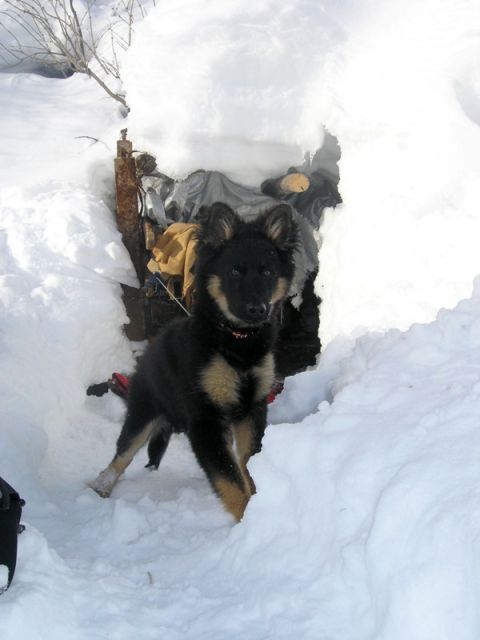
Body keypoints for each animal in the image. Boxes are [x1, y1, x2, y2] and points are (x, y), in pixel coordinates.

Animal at [91, 202, 296, 524]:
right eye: (234, 271)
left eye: (268, 272)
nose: (257, 310)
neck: (237, 341)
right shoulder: (205, 418)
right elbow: (229, 479)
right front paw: (245, 520)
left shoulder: (252, 409)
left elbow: (246, 463)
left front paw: (258, 501)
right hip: (143, 410)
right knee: (122, 453)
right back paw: (101, 485)